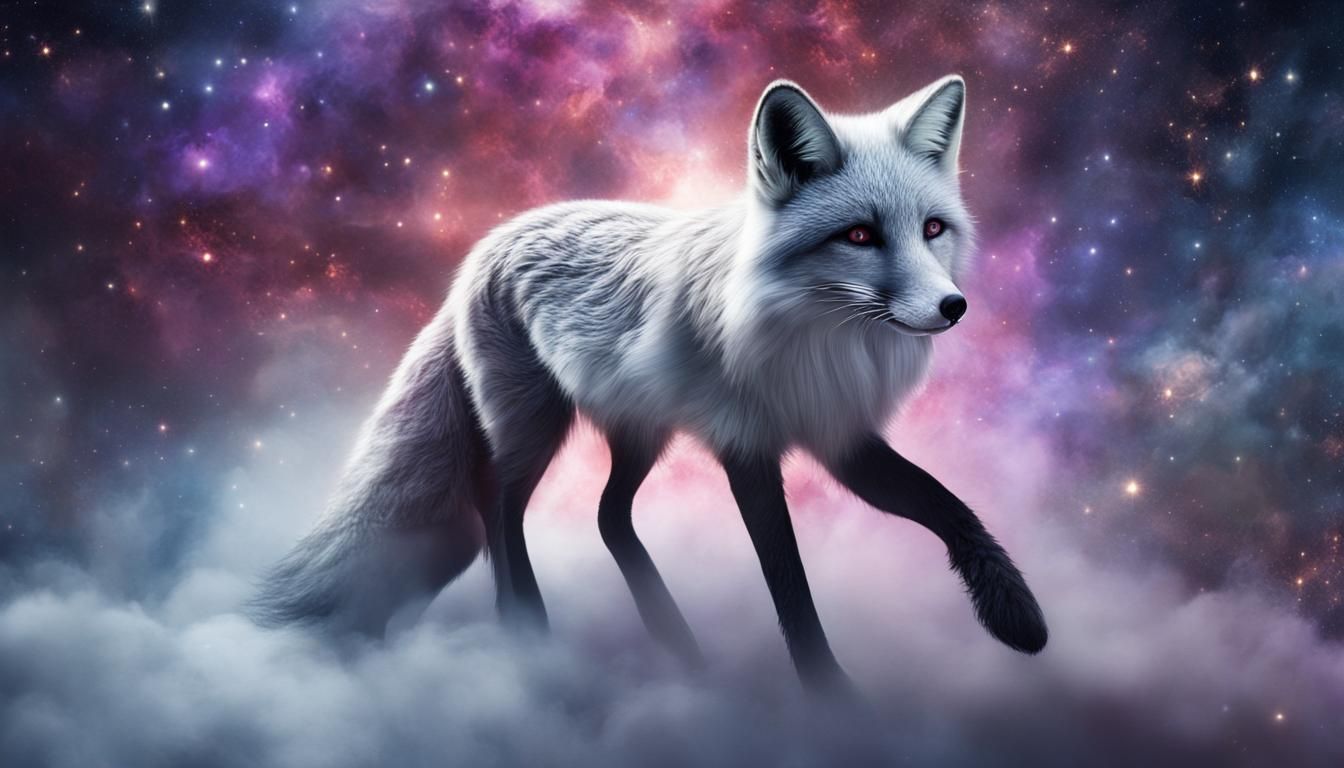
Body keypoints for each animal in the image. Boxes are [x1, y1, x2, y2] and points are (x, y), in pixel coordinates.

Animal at [248, 75, 1049, 693]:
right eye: (858, 236)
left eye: (933, 229)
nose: (952, 307)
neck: (820, 339)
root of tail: (488, 243)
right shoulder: (747, 448)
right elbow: (789, 582)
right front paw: (832, 696)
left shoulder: (839, 437)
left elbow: (950, 507)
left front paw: (1017, 616)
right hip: (535, 427)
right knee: (496, 504)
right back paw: (526, 628)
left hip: (642, 430)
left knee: (608, 516)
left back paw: (673, 640)